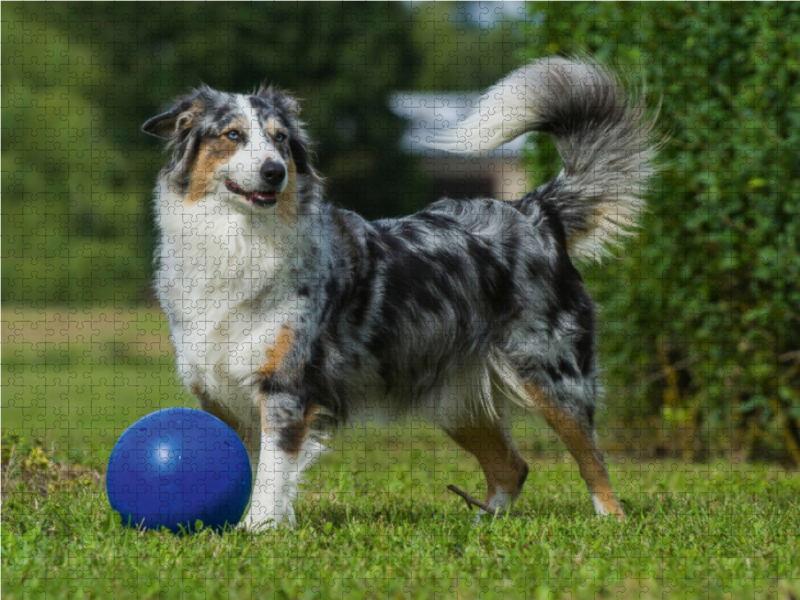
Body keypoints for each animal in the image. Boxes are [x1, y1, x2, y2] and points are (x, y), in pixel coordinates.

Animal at [142, 55, 656, 524]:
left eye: (281, 140)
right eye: (232, 135)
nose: (274, 172)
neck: (238, 240)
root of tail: (533, 209)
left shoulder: (286, 387)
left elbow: (271, 476)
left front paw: (259, 532)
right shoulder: (216, 392)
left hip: (552, 375)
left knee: (593, 459)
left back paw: (611, 522)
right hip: (455, 400)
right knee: (512, 466)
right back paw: (481, 527)